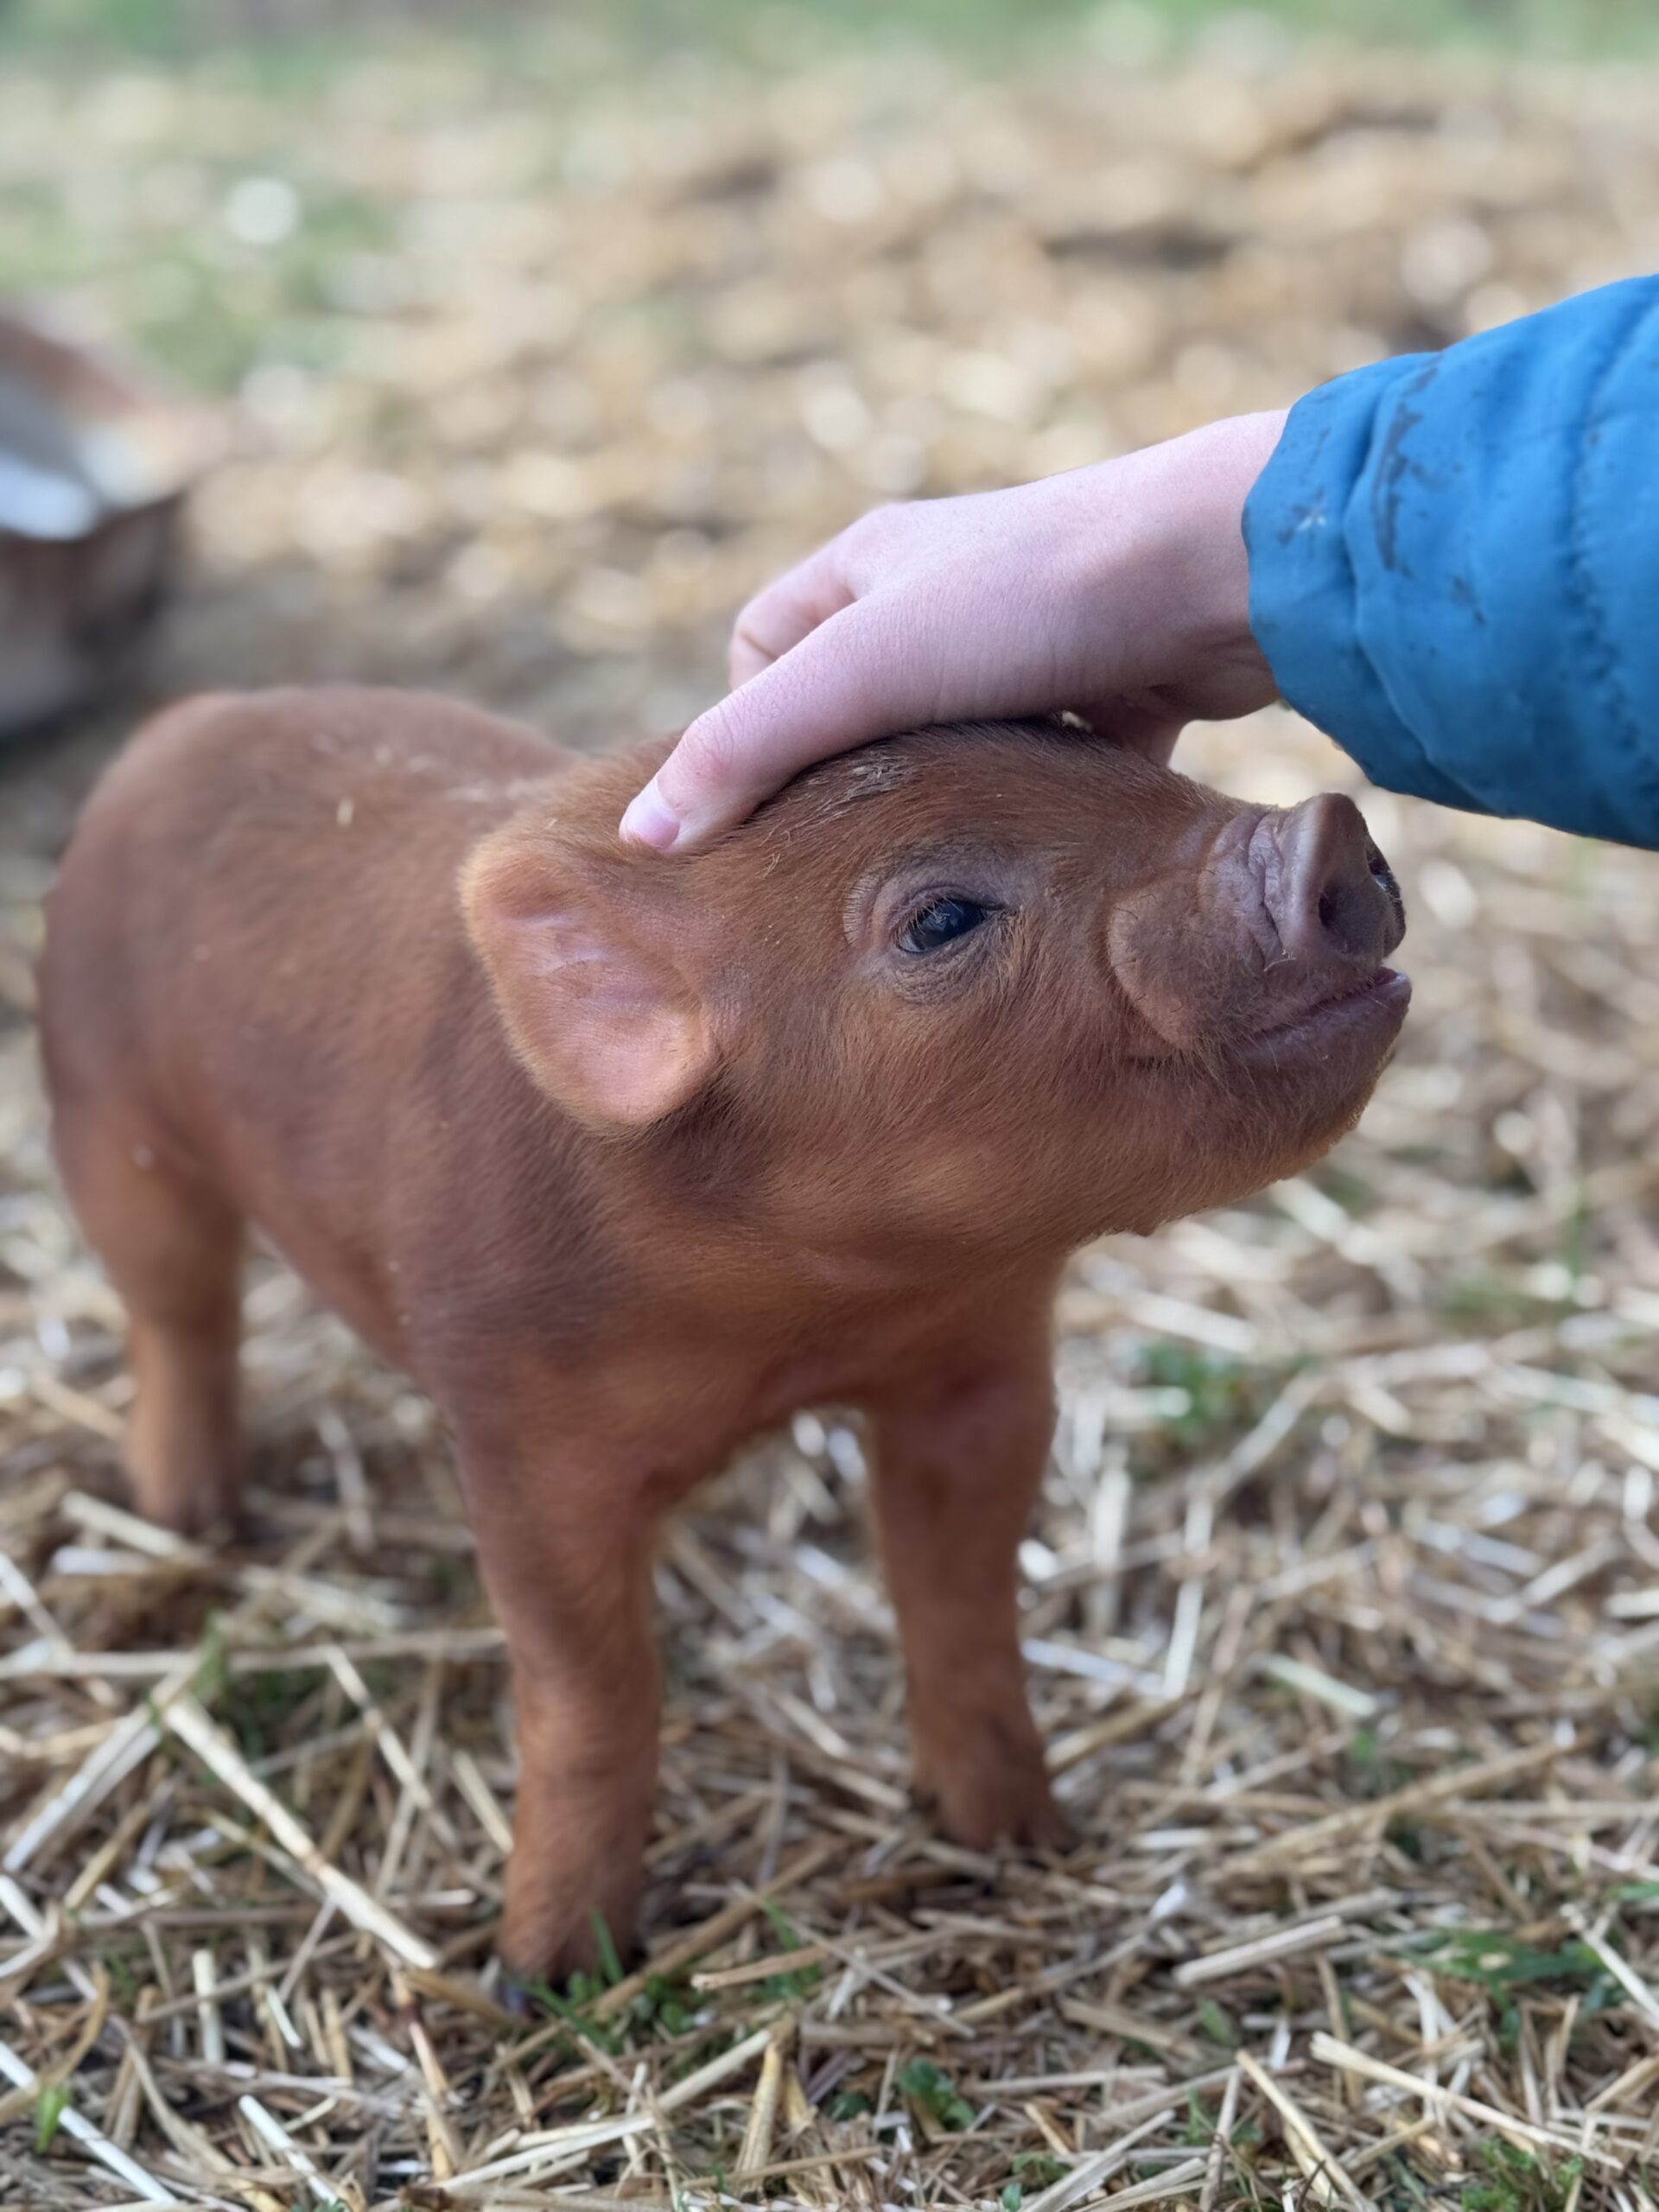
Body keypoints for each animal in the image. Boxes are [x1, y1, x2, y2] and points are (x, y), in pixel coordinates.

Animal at [38, 686, 1408, 1981]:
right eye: (942, 920)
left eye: (1139, 769)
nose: (1330, 828)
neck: (795, 1330)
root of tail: (182, 724)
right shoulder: (519, 1428)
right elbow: (591, 1691)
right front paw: (547, 1977)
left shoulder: (983, 1373)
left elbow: (962, 1606)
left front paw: (1018, 1839)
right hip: (105, 1111)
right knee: (179, 1310)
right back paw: (193, 1519)